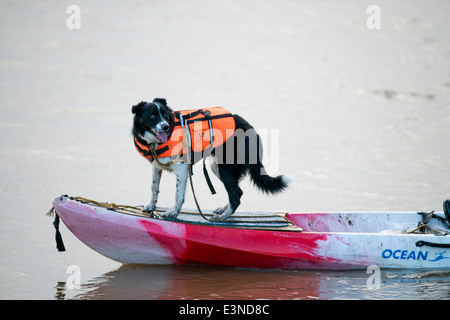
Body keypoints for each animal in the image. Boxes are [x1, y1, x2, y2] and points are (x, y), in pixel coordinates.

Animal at [131, 99, 292, 221]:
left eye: (164, 115)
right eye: (152, 116)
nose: (165, 126)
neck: (154, 144)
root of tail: (252, 131)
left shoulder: (181, 168)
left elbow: (178, 194)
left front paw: (173, 212)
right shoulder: (156, 167)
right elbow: (154, 188)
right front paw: (151, 206)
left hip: (225, 168)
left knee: (235, 197)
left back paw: (223, 216)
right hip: (218, 167)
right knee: (237, 192)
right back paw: (223, 211)